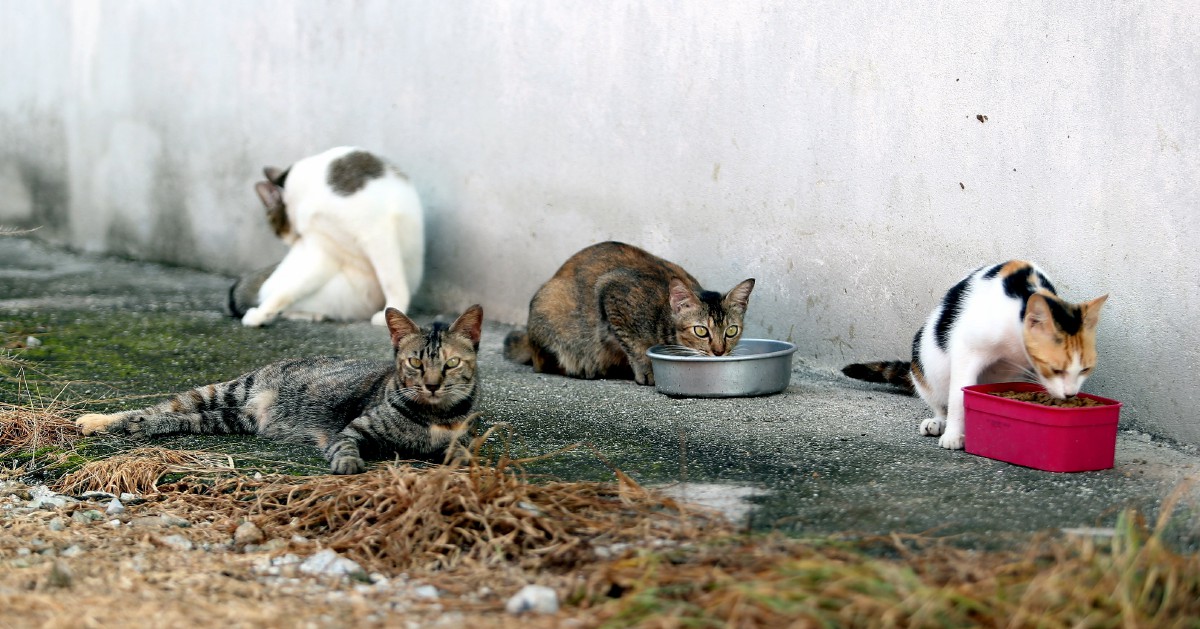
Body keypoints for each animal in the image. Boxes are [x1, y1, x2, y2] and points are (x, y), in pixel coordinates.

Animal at [75, 307, 482, 475]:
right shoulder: (351, 430)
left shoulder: (459, 440)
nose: (432, 384)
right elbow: (346, 447)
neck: (432, 415)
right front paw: (349, 464)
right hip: (224, 391)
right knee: (156, 408)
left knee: (173, 419)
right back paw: (98, 421)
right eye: (415, 363)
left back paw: (136, 428)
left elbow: (461, 452)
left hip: (228, 418)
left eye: (451, 364)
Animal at [226, 145, 424, 326]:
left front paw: (392, 309)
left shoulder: (375, 232)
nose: (290, 243)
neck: (307, 193)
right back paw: (310, 315)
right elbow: (287, 292)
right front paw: (261, 314)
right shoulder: (324, 252)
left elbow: (391, 281)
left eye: (277, 231)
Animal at [501, 242, 753, 386]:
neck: (661, 315)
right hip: (550, 306)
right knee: (542, 362)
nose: (719, 352)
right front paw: (647, 370)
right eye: (701, 331)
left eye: (731, 331)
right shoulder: (612, 291)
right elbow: (634, 344)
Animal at [844, 258, 1104, 448]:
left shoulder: (1008, 370)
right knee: (939, 399)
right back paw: (939, 422)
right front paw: (953, 436)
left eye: (1085, 370)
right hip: (924, 360)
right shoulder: (965, 350)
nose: (1070, 394)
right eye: (1055, 369)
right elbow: (958, 397)